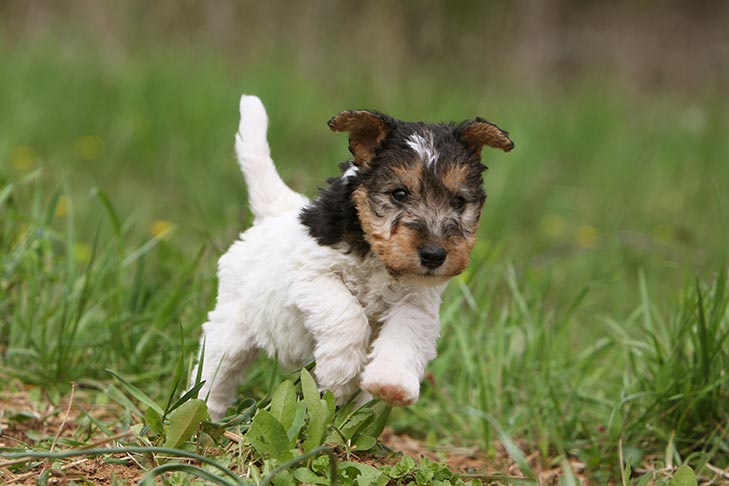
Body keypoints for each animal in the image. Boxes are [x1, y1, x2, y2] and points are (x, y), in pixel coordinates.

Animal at [194, 95, 513, 419]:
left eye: (459, 202)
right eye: (399, 194)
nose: (434, 255)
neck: (376, 255)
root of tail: (274, 214)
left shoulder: (417, 302)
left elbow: (404, 335)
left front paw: (391, 383)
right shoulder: (312, 274)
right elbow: (348, 315)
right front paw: (340, 373)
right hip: (233, 325)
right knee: (217, 366)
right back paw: (205, 411)